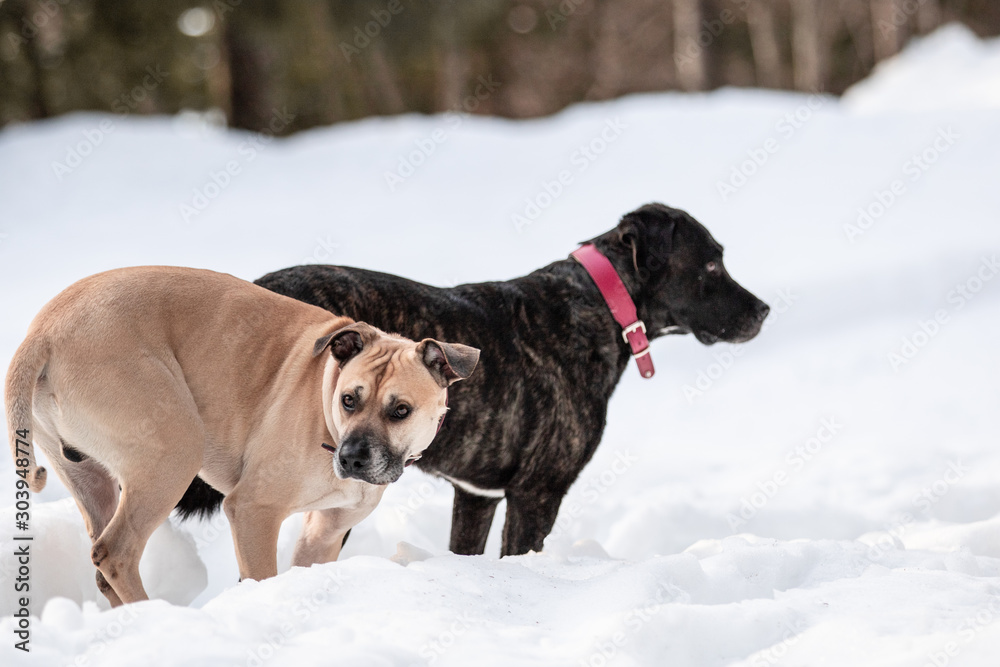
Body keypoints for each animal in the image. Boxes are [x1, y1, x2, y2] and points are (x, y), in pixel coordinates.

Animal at [2, 266, 480, 604]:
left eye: (400, 411)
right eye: (349, 400)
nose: (352, 459)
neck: (323, 407)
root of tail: (43, 333)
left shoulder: (325, 532)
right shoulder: (253, 511)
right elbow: (262, 574)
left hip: (90, 474)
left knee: (103, 569)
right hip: (173, 449)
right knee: (115, 553)